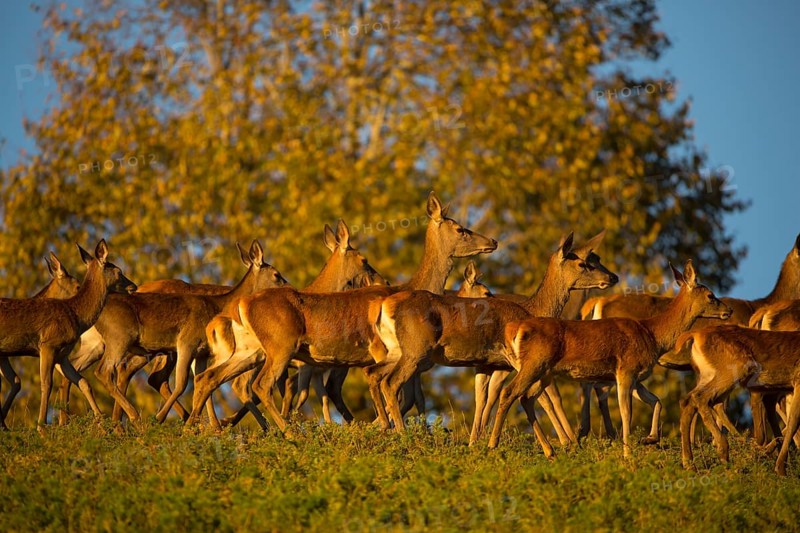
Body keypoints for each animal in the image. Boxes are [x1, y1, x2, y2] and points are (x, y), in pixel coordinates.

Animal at [187, 192, 498, 430]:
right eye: (460, 229)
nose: (492, 241)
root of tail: (242, 305)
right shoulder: (378, 350)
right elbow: (396, 394)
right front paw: (383, 427)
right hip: (281, 345)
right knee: (259, 385)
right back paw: (286, 432)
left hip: (251, 350)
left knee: (210, 378)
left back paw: (199, 427)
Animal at [370, 231, 617, 449]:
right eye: (583, 263)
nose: (612, 277)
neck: (534, 310)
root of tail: (384, 307)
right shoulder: (513, 358)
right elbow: (545, 397)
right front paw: (569, 442)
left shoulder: (487, 364)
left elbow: (483, 400)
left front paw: (474, 443)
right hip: (416, 350)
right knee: (391, 382)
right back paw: (401, 434)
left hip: (396, 350)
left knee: (375, 374)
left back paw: (386, 427)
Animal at [490, 260, 731, 458]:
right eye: (711, 296)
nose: (727, 311)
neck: (653, 334)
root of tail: (516, 329)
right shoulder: (626, 369)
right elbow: (626, 412)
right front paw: (627, 454)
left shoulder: (635, 376)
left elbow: (656, 401)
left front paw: (649, 439)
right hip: (534, 364)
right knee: (510, 392)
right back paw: (493, 443)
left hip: (544, 372)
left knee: (526, 398)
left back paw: (550, 451)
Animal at [676, 325, 800, 476]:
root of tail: (696, 334)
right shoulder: (795, 382)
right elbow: (793, 421)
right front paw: (781, 469)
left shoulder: (775, 390)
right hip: (736, 368)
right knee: (700, 398)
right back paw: (723, 451)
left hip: (708, 374)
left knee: (687, 401)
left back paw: (690, 464)